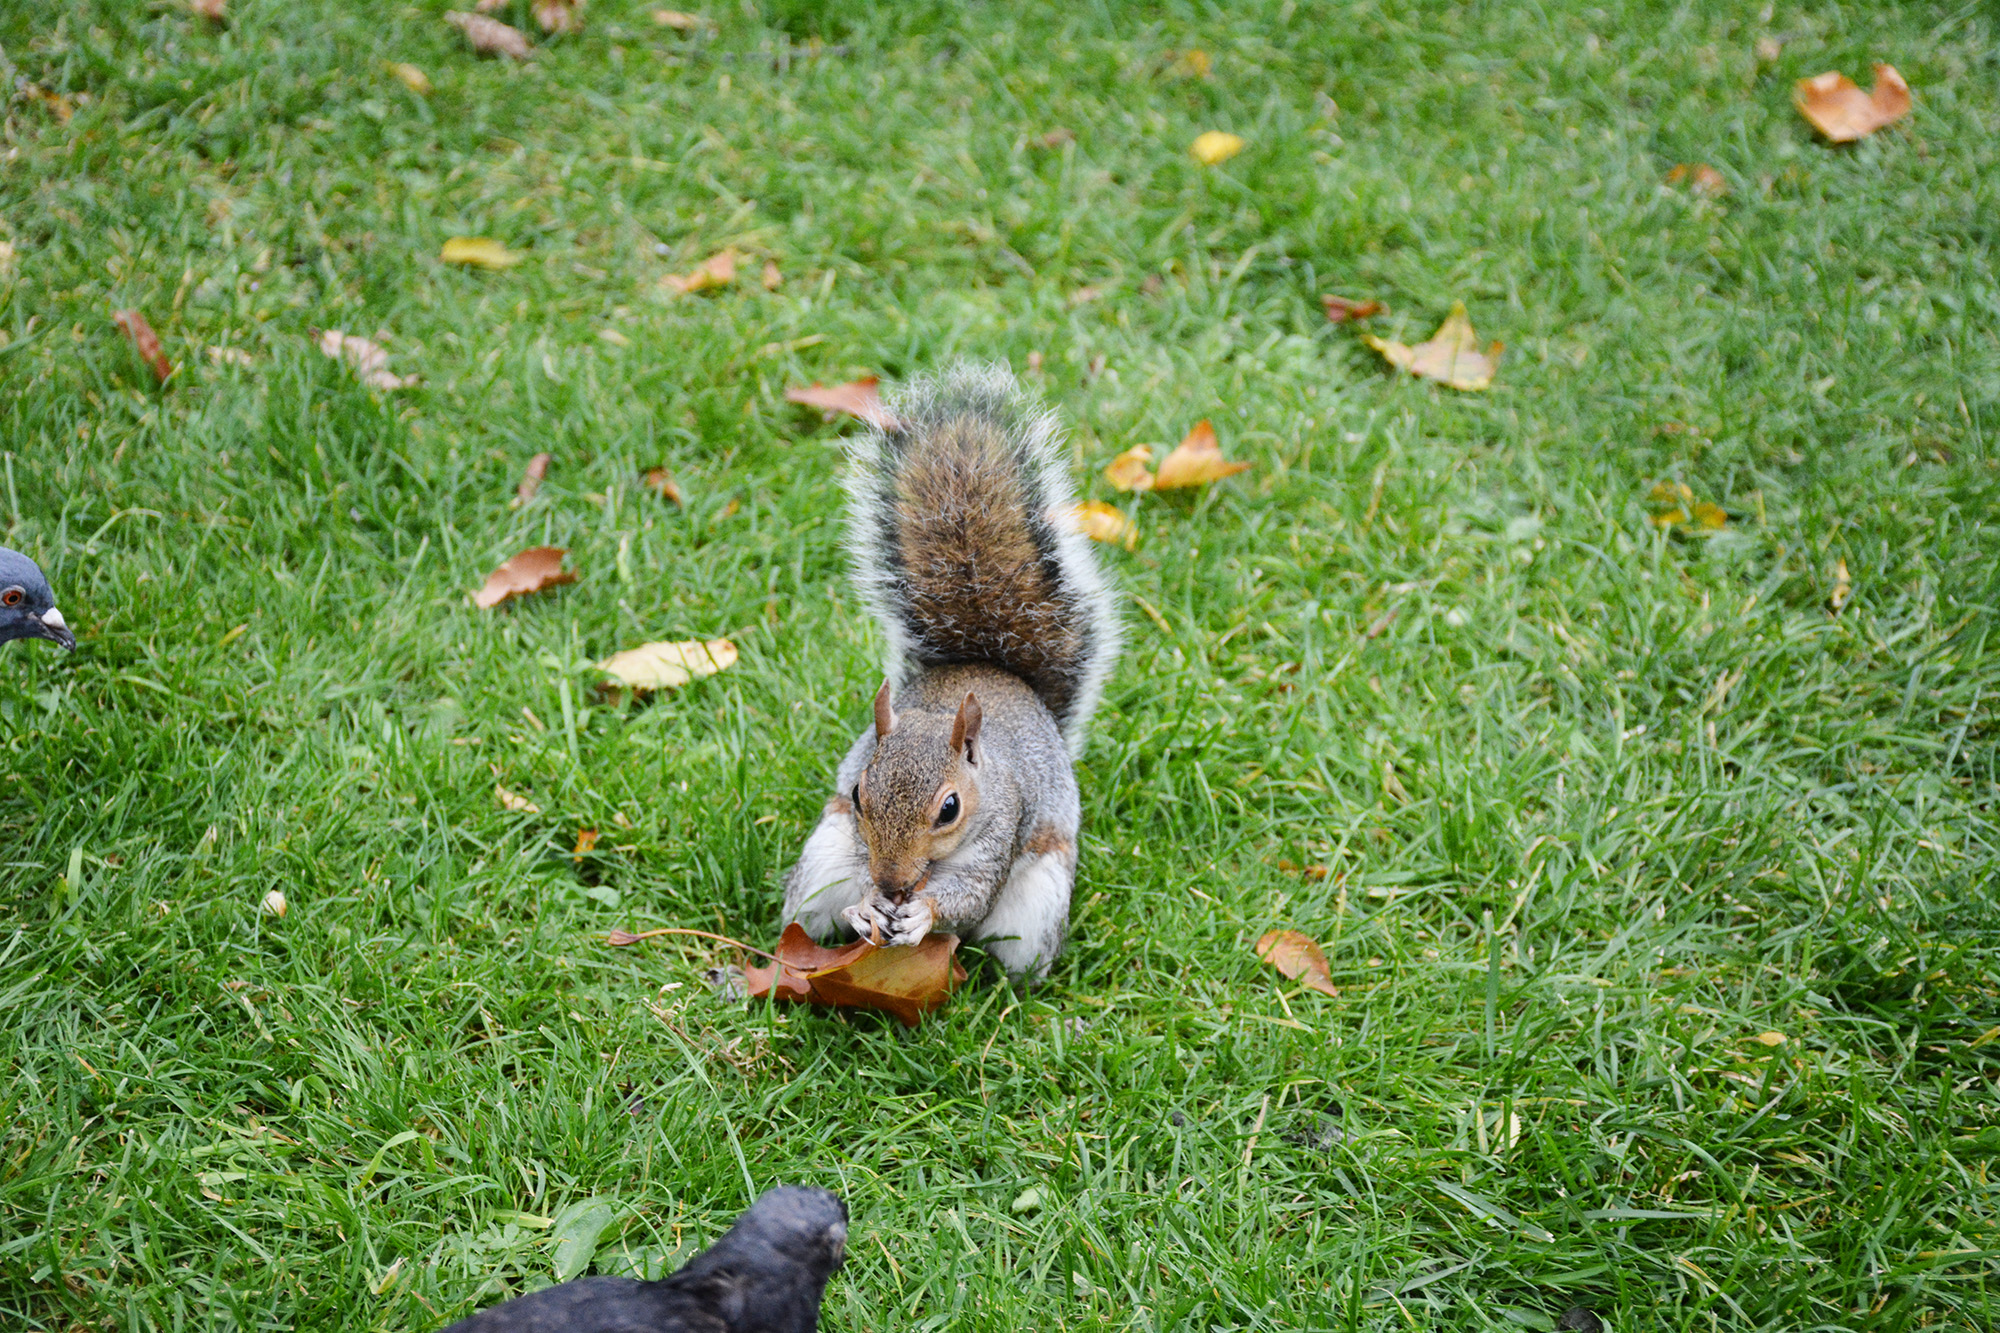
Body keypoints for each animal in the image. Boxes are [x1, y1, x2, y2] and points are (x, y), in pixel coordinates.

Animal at [780, 364, 1128, 976]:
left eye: (950, 809)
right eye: (858, 794)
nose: (892, 885)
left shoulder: (1004, 826)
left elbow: (970, 896)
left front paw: (923, 914)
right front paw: (867, 906)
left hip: (1038, 904)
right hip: (824, 860)